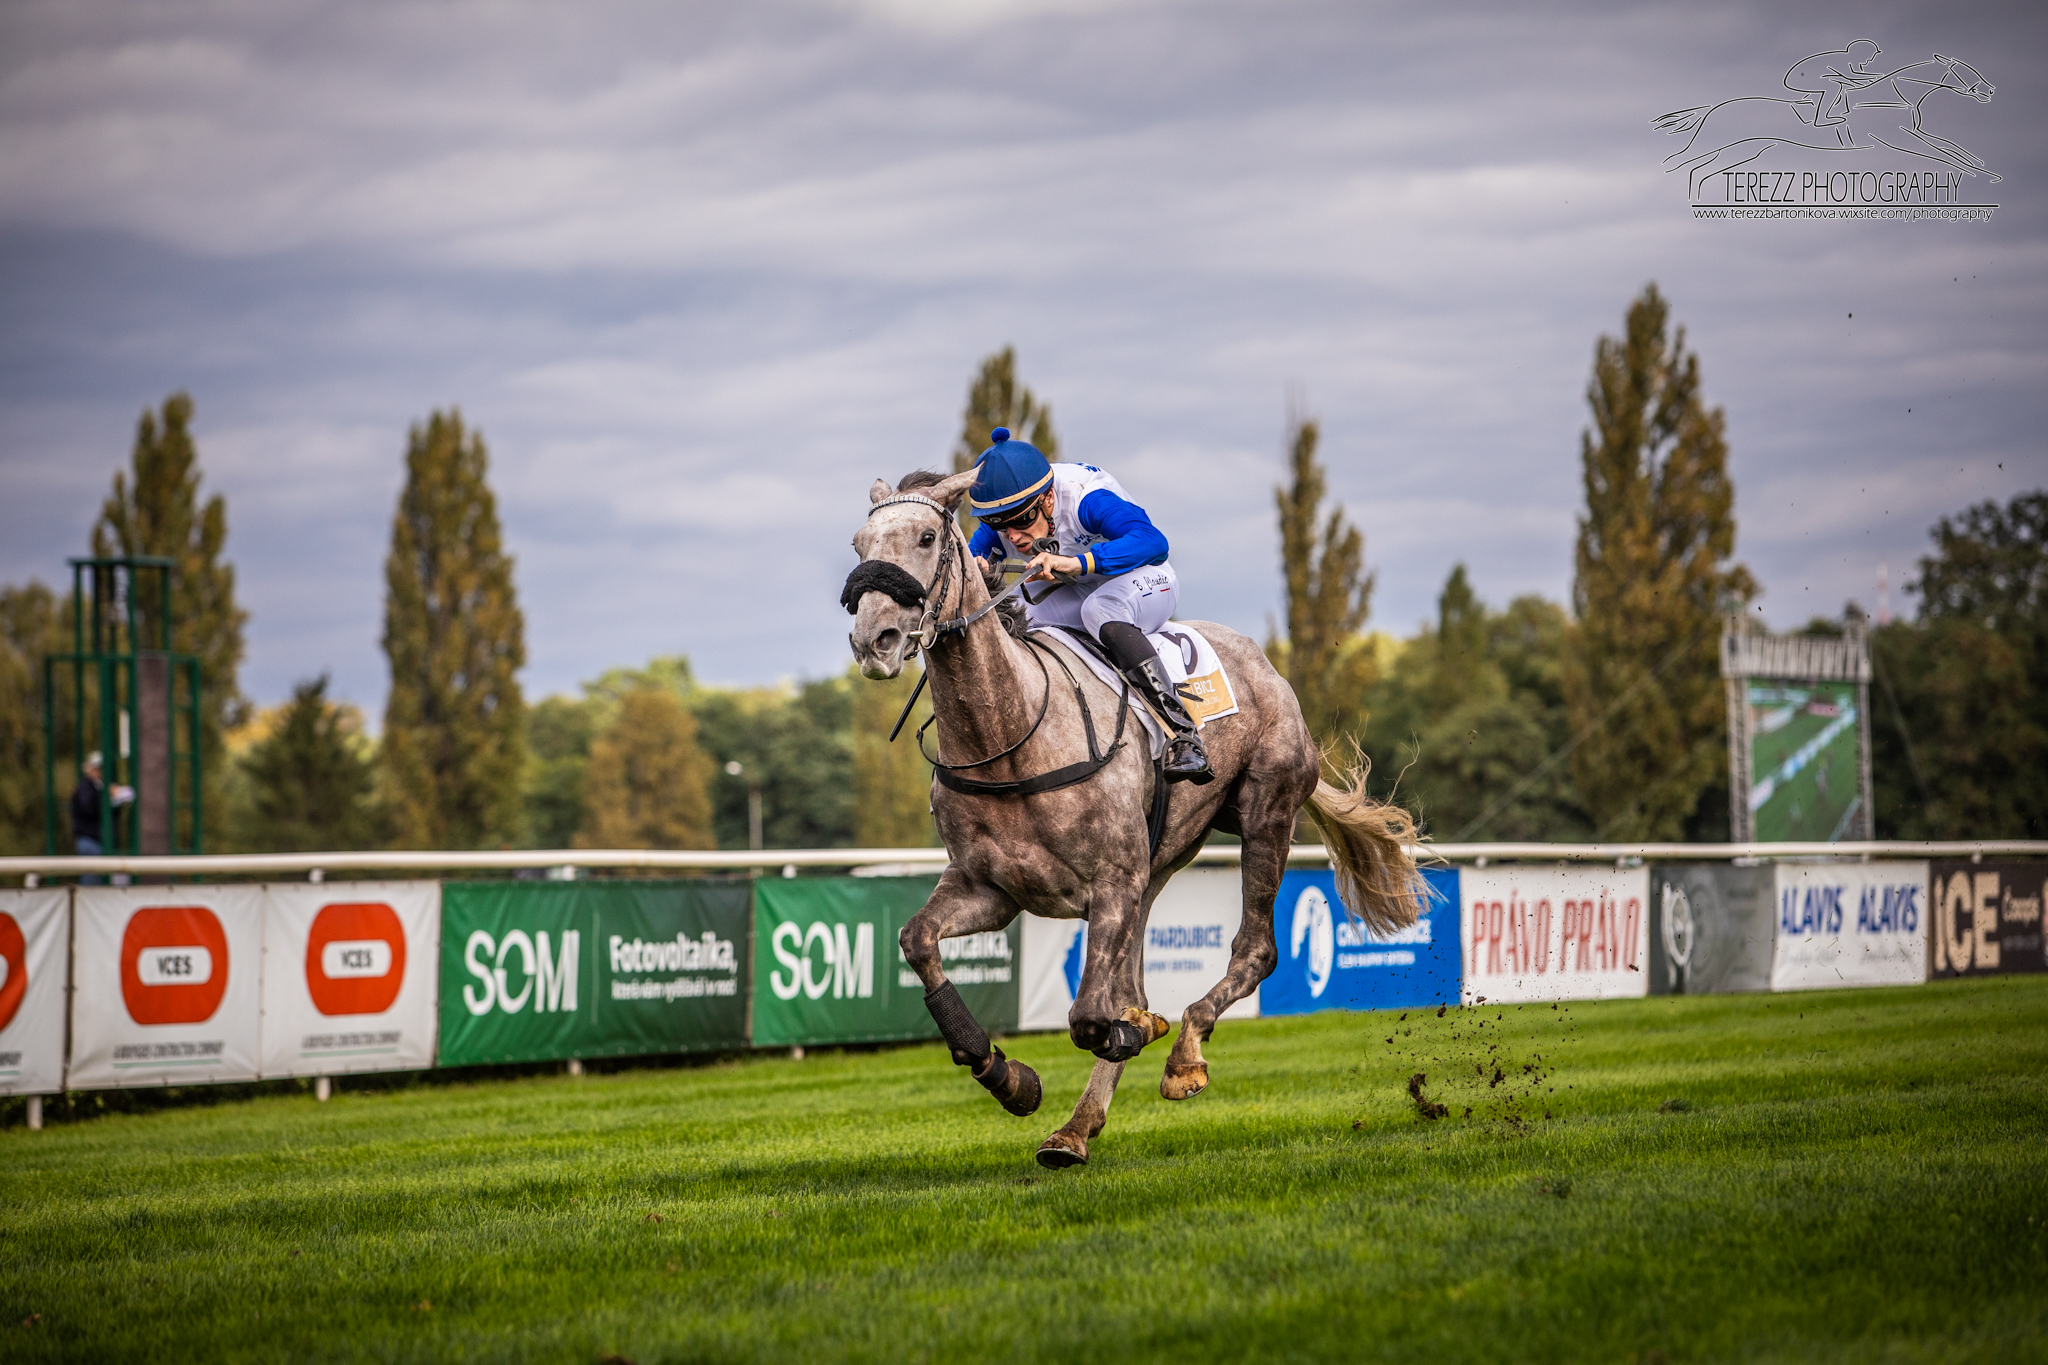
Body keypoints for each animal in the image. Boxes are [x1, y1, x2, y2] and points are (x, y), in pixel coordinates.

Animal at [847, 466, 1425, 1162]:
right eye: (858, 545)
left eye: (928, 537)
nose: (872, 640)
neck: (1011, 738)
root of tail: (1266, 665)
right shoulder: (992, 888)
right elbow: (918, 941)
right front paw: (1009, 1076)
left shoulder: (1111, 883)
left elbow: (1090, 1018)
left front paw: (1136, 1033)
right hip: (1157, 866)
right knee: (1137, 979)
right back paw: (1075, 1127)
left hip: (1265, 813)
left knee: (1254, 950)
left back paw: (1183, 1054)